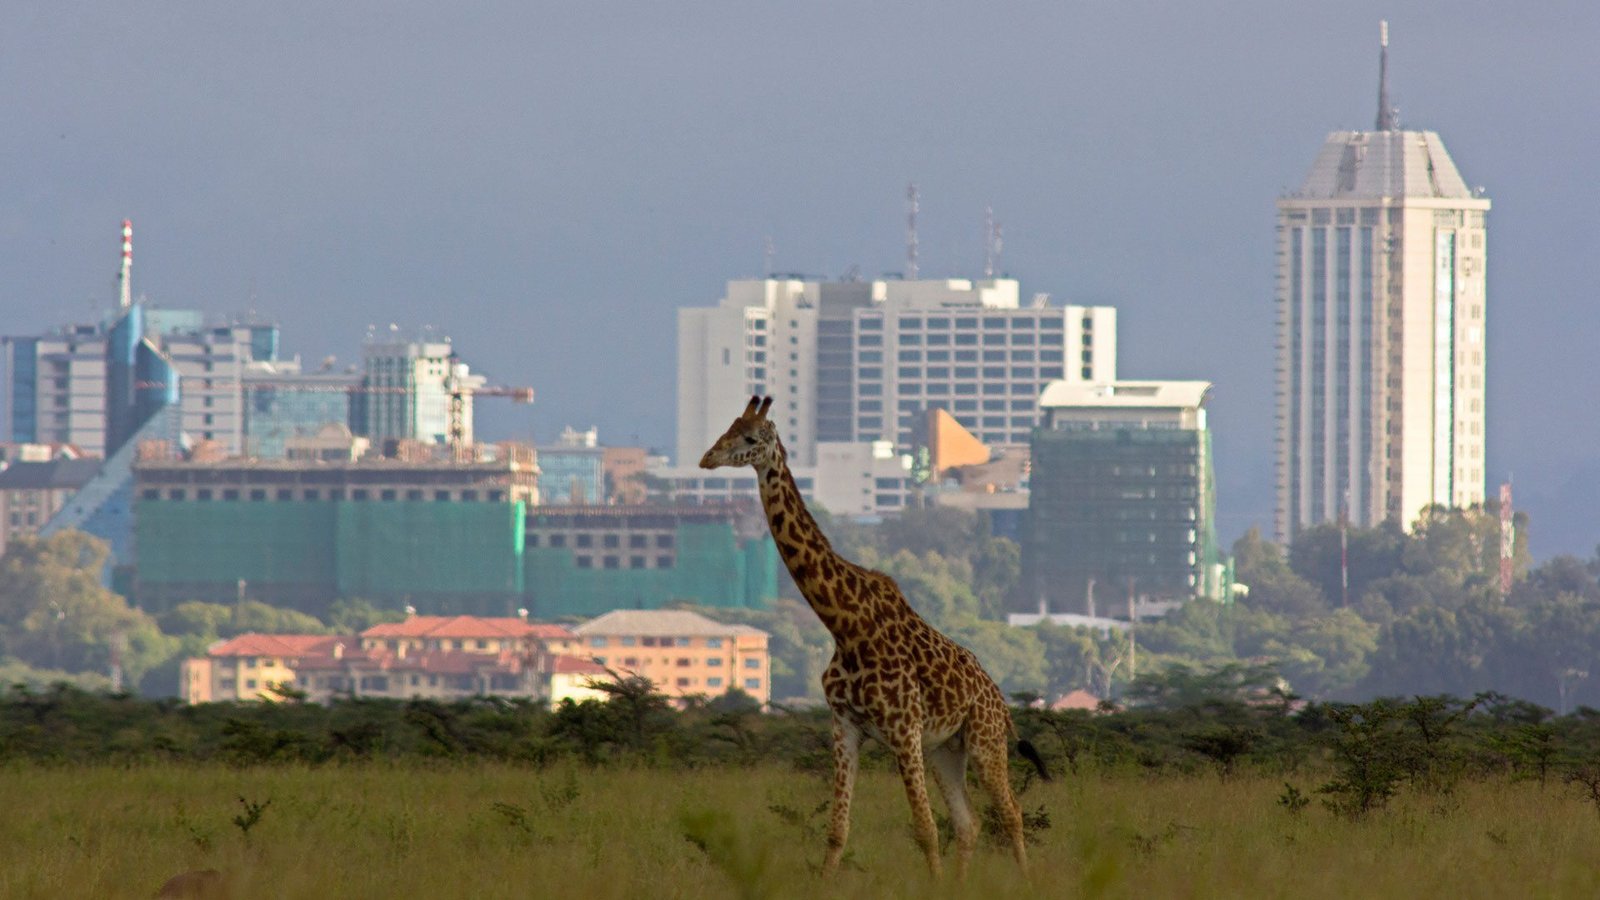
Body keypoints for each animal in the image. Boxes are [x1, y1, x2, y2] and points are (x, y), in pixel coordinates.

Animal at [700, 395, 1050, 878]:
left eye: (750, 437)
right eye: (727, 428)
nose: (706, 458)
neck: (845, 626)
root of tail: (999, 698)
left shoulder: (903, 731)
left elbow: (925, 829)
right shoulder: (845, 726)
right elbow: (837, 830)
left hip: (985, 741)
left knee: (1010, 813)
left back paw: (1026, 880)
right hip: (946, 750)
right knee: (970, 823)